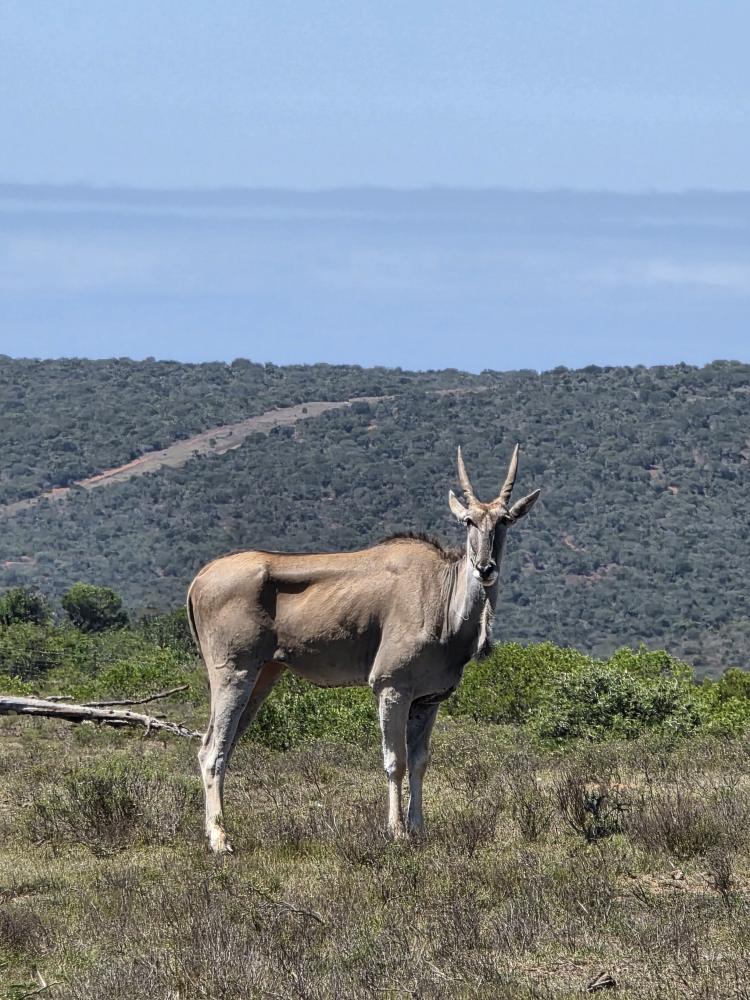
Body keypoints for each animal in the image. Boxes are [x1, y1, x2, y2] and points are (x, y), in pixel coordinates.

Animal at [188, 446, 540, 853]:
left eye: (504, 521)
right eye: (468, 521)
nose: (485, 568)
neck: (441, 597)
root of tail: (200, 578)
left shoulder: (428, 700)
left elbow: (420, 761)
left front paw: (419, 828)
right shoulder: (391, 687)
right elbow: (395, 760)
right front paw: (397, 830)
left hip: (262, 677)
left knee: (223, 746)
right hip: (233, 673)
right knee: (211, 749)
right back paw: (219, 839)